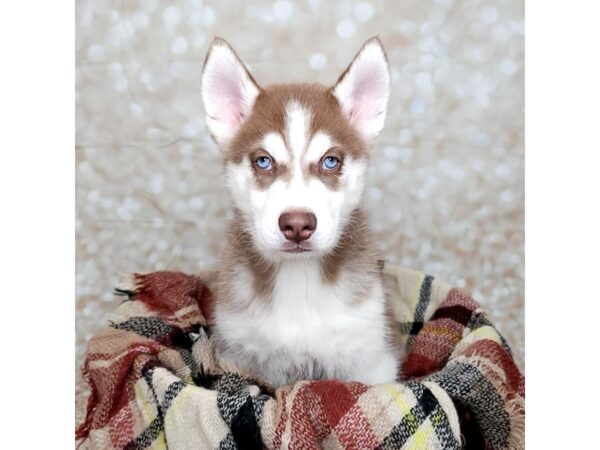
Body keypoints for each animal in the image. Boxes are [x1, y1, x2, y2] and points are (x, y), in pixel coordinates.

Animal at [202, 37, 398, 386]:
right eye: (263, 161)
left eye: (330, 161)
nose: (296, 225)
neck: (298, 278)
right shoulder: (239, 359)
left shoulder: (372, 364)